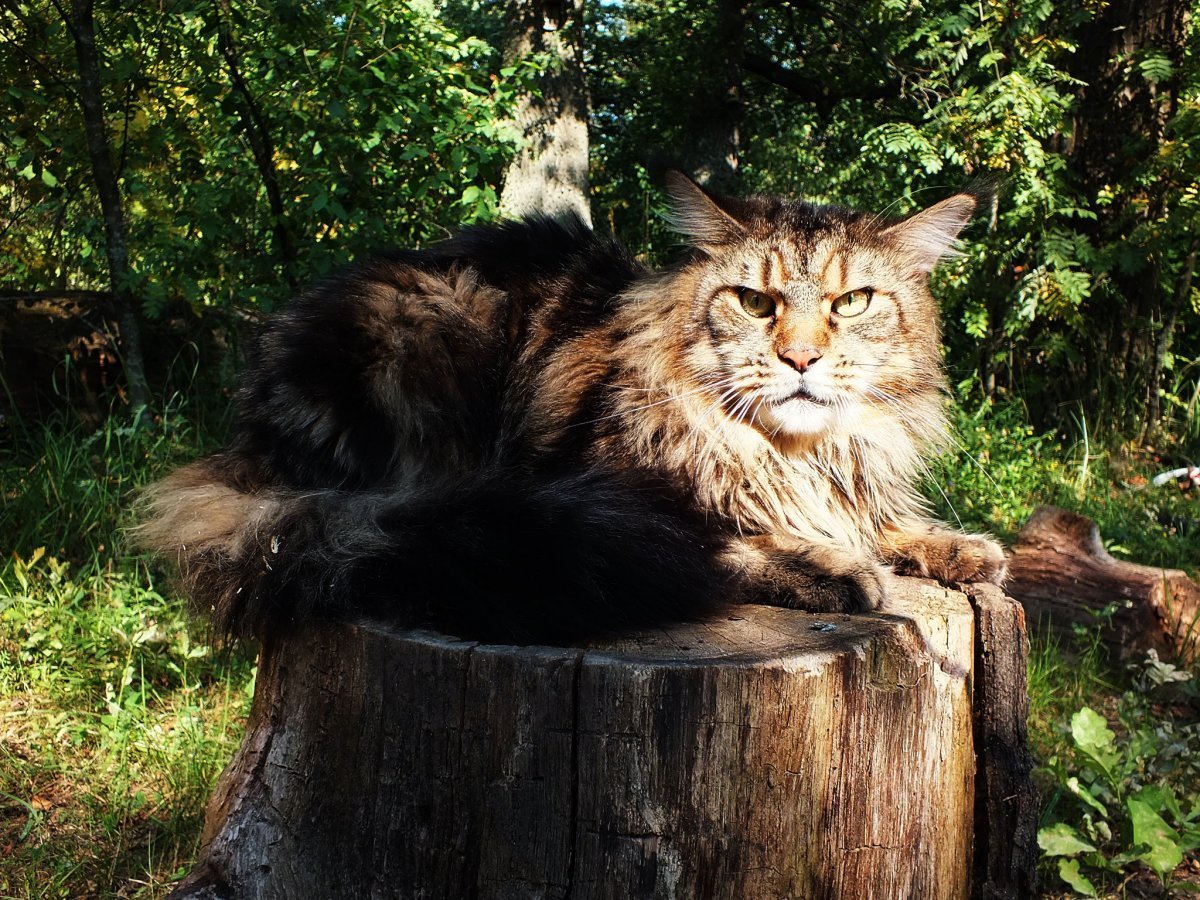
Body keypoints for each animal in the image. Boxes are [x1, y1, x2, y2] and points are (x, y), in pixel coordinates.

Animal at [138, 172, 1003, 643]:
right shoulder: (609, 492)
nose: (799, 358)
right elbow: (733, 543)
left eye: (852, 303)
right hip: (429, 340)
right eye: (755, 302)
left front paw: (954, 545)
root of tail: (249, 439)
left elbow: (880, 520)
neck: (789, 452)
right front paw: (832, 567)